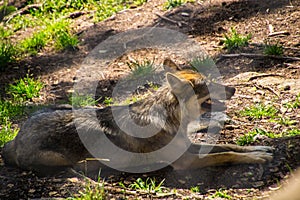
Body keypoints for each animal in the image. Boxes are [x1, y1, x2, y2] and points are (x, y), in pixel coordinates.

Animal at [2, 58, 274, 174]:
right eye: (209, 85)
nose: (234, 89)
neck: (171, 120)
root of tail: (15, 139)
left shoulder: (189, 146)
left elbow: (230, 145)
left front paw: (260, 149)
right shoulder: (185, 162)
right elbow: (225, 155)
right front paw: (256, 157)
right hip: (59, 159)